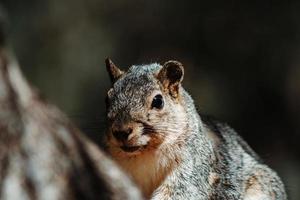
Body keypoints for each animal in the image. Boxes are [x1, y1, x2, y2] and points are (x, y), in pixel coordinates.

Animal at [103, 58, 288, 199]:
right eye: (107, 98)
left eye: (158, 101)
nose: (121, 131)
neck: (144, 155)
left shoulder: (193, 166)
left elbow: (181, 192)